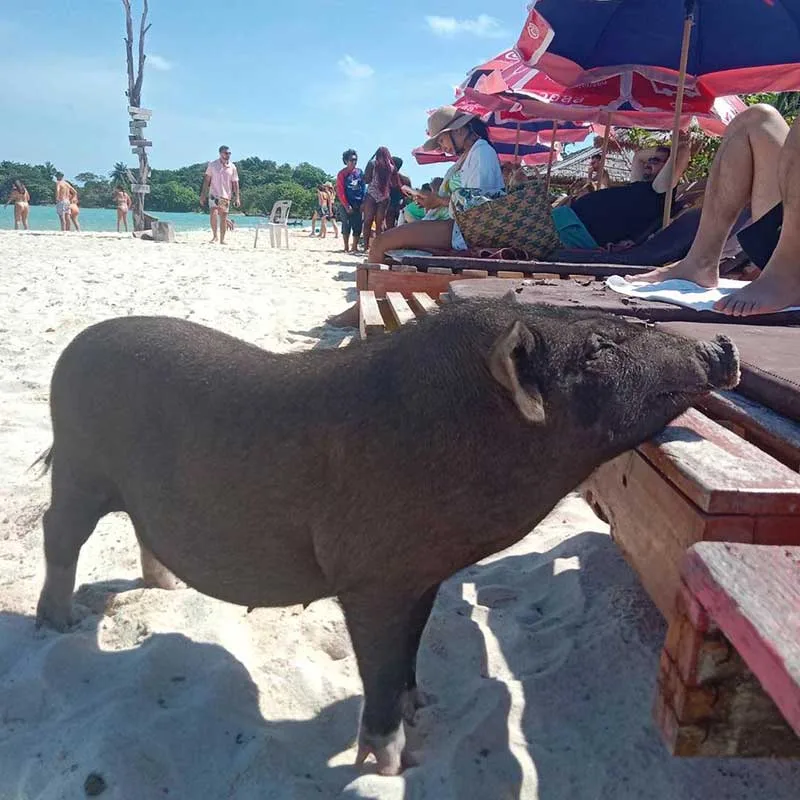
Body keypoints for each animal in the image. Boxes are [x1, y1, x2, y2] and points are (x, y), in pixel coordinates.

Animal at [34, 298, 739, 775]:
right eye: (597, 349)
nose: (721, 348)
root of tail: (73, 348)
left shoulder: (423, 574)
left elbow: (412, 643)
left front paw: (423, 702)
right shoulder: (370, 575)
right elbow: (375, 660)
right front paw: (389, 764)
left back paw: (166, 587)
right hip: (78, 463)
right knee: (58, 532)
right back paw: (56, 625)